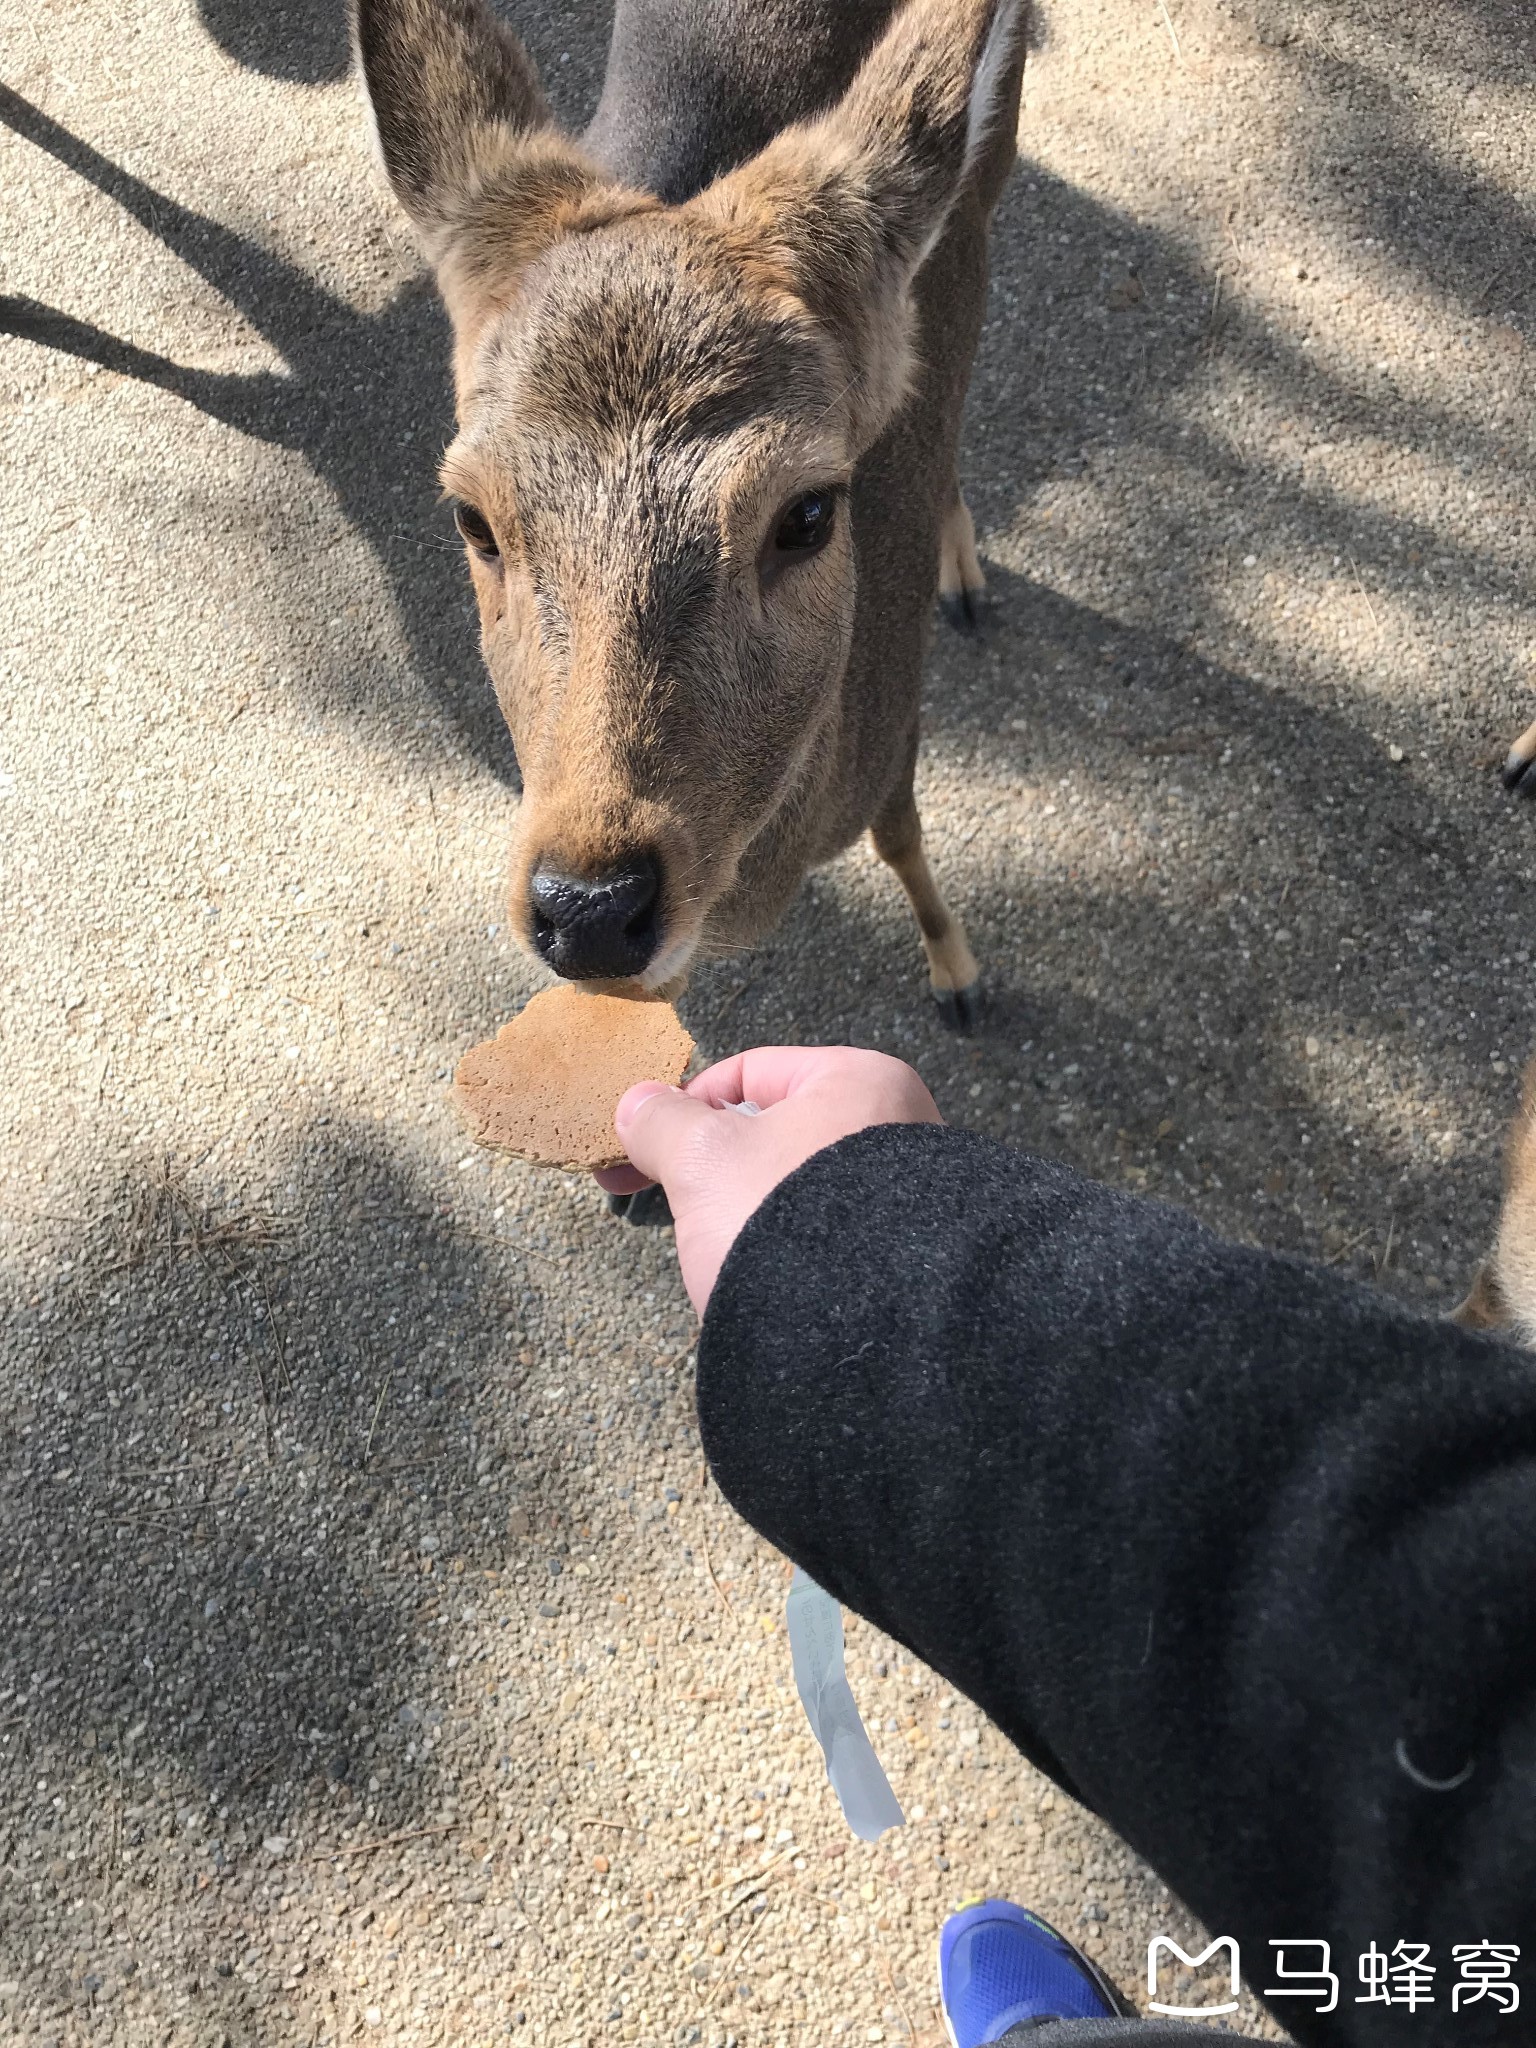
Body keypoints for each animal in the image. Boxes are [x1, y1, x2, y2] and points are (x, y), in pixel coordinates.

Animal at [354, 0, 1028, 1024]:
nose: (590, 911)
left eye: (808, 514)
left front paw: (959, 975)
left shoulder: (897, 701)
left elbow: (903, 831)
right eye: (473, 518)